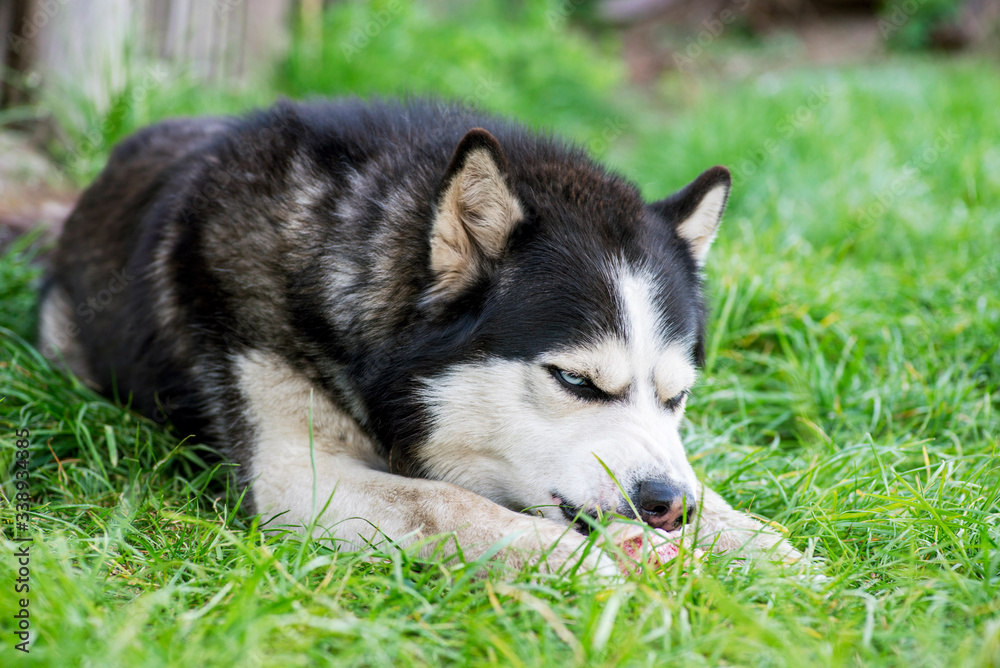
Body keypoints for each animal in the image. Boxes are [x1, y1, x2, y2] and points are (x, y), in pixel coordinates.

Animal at [43, 98, 800, 576]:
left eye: (676, 397)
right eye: (576, 381)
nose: (667, 505)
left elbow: (722, 499)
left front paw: (770, 551)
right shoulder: (292, 478)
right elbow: (446, 501)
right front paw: (574, 560)